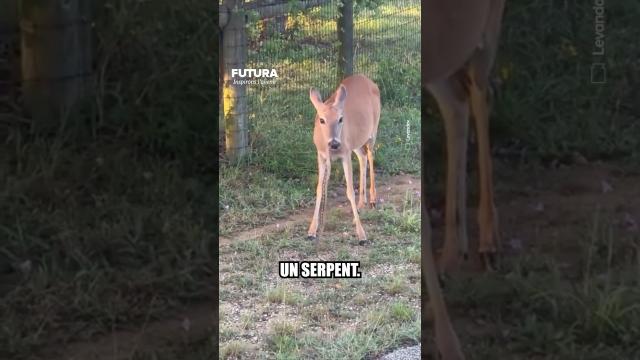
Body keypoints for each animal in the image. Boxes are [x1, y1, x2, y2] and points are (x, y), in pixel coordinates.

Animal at [306, 75, 380, 245]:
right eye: (321, 120)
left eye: (340, 119)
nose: (334, 143)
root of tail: (368, 80)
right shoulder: (321, 155)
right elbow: (319, 189)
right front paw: (312, 231)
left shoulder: (345, 153)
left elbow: (350, 191)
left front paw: (362, 235)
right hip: (356, 141)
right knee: (362, 156)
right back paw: (361, 204)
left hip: (373, 130)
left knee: (370, 155)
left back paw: (372, 199)